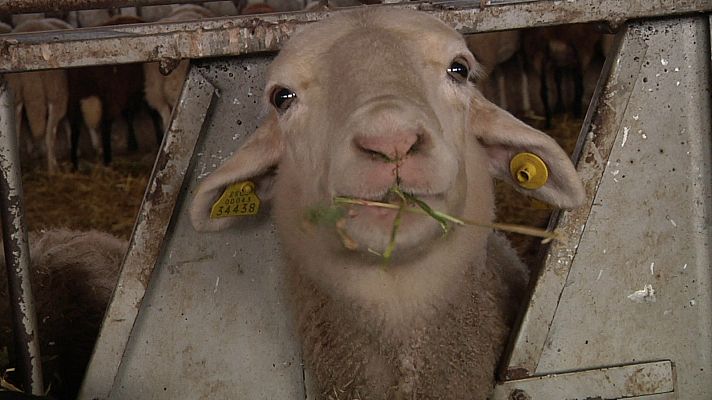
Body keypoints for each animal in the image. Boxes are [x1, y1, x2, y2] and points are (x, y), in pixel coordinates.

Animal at [5, 18, 73, 174]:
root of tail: (31, 76)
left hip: (16, 96)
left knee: (17, 134)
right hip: (57, 93)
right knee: (49, 135)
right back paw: (53, 171)